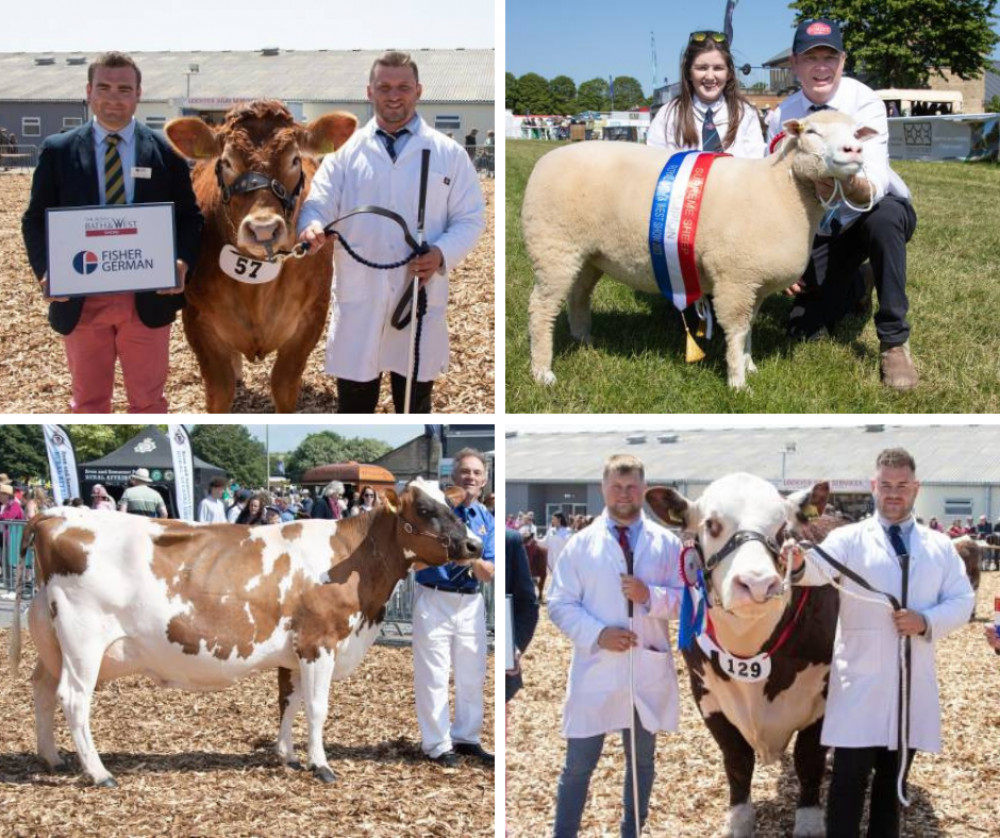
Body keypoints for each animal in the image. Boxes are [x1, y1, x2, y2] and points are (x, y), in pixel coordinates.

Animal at [8, 480, 480, 788]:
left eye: (453, 505)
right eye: (425, 510)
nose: (474, 545)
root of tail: (54, 514)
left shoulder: (295, 651)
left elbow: (289, 702)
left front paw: (288, 756)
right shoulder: (320, 642)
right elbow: (317, 708)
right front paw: (321, 765)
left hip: (51, 640)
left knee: (42, 688)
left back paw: (52, 758)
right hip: (83, 640)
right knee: (73, 699)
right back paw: (99, 772)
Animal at [168, 101, 360, 414]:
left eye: (294, 159)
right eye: (226, 162)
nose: (263, 229)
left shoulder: (312, 315)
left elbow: (284, 385)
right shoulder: (196, 317)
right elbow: (219, 390)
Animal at [524, 107, 876, 390]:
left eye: (856, 132)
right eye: (812, 132)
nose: (855, 149)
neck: (779, 188)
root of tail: (544, 160)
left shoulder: (754, 283)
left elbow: (748, 328)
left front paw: (749, 365)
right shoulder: (735, 278)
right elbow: (736, 330)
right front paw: (738, 383)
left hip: (588, 255)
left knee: (578, 295)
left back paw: (584, 340)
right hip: (553, 245)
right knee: (541, 307)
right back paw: (542, 372)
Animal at [644, 476, 848, 836]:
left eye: (782, 529)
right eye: (711, 525)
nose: (757, 584)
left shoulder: (823, 696)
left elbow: (808, 759)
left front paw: (809, 822)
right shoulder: (706, 695)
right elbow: (737, 760)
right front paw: (739, 820)